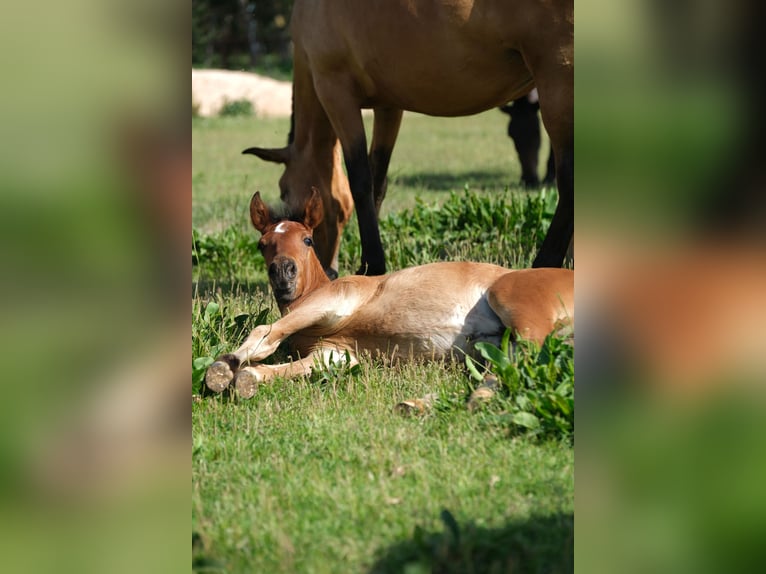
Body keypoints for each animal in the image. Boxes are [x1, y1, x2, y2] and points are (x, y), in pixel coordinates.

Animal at [204, 189, 574, 398]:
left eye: (307, 240)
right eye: (262, 244)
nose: (283, 272)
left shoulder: (336, 301)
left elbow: (265, 333)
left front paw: (223, 368)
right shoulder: (337, 353)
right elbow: (290, 367)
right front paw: (247, 377)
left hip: (517, 308)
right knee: (512, 367)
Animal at [243, 0, 573, 277]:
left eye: (284, 190)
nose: (327, 269)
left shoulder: (335, 92)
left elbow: (360, 181)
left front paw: (372, 266)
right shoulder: (388, 106)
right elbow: (378, 182)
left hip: (557, 81)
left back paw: (545, 265)